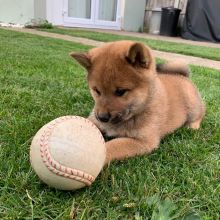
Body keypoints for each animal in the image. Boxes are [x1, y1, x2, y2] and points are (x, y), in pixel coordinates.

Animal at [70, 41, 205, 164]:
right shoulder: (94, 121)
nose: (102, 117)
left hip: (193, 107)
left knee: (199, 115)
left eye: (121, 91)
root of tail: (183, 76)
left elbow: (113, 146)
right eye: (96, 90)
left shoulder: (143, 141)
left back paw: (192, 126)